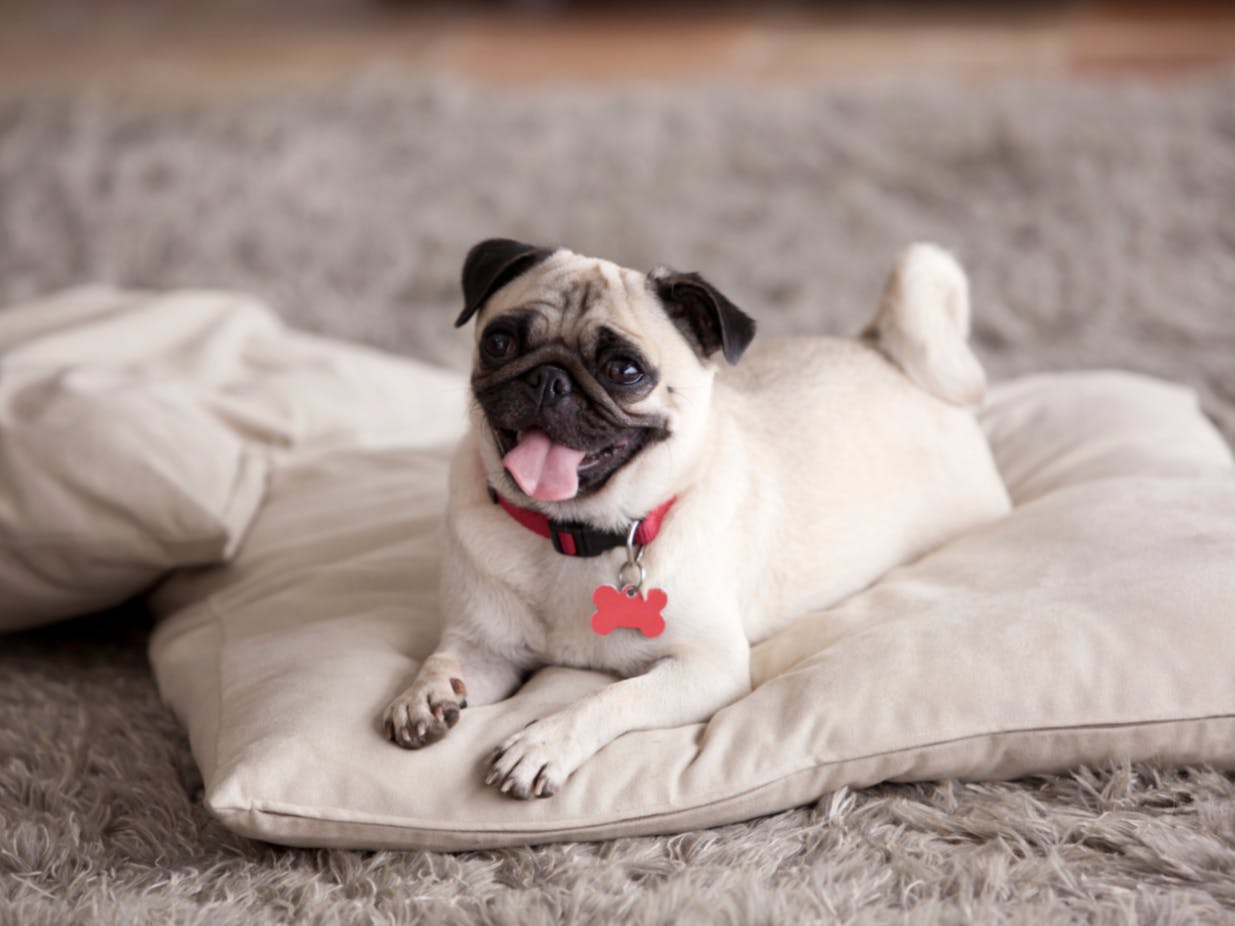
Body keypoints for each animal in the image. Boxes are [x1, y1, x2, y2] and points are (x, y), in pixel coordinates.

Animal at [382, 243, 1012, 800]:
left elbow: (608, 699)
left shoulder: (708, 668)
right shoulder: (482, 648)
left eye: (625, 370)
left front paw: (545, 742)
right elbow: (442, 659)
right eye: (499, 341)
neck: (572, 535)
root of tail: (879, 346)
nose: (547, 379)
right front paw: (423, 695)